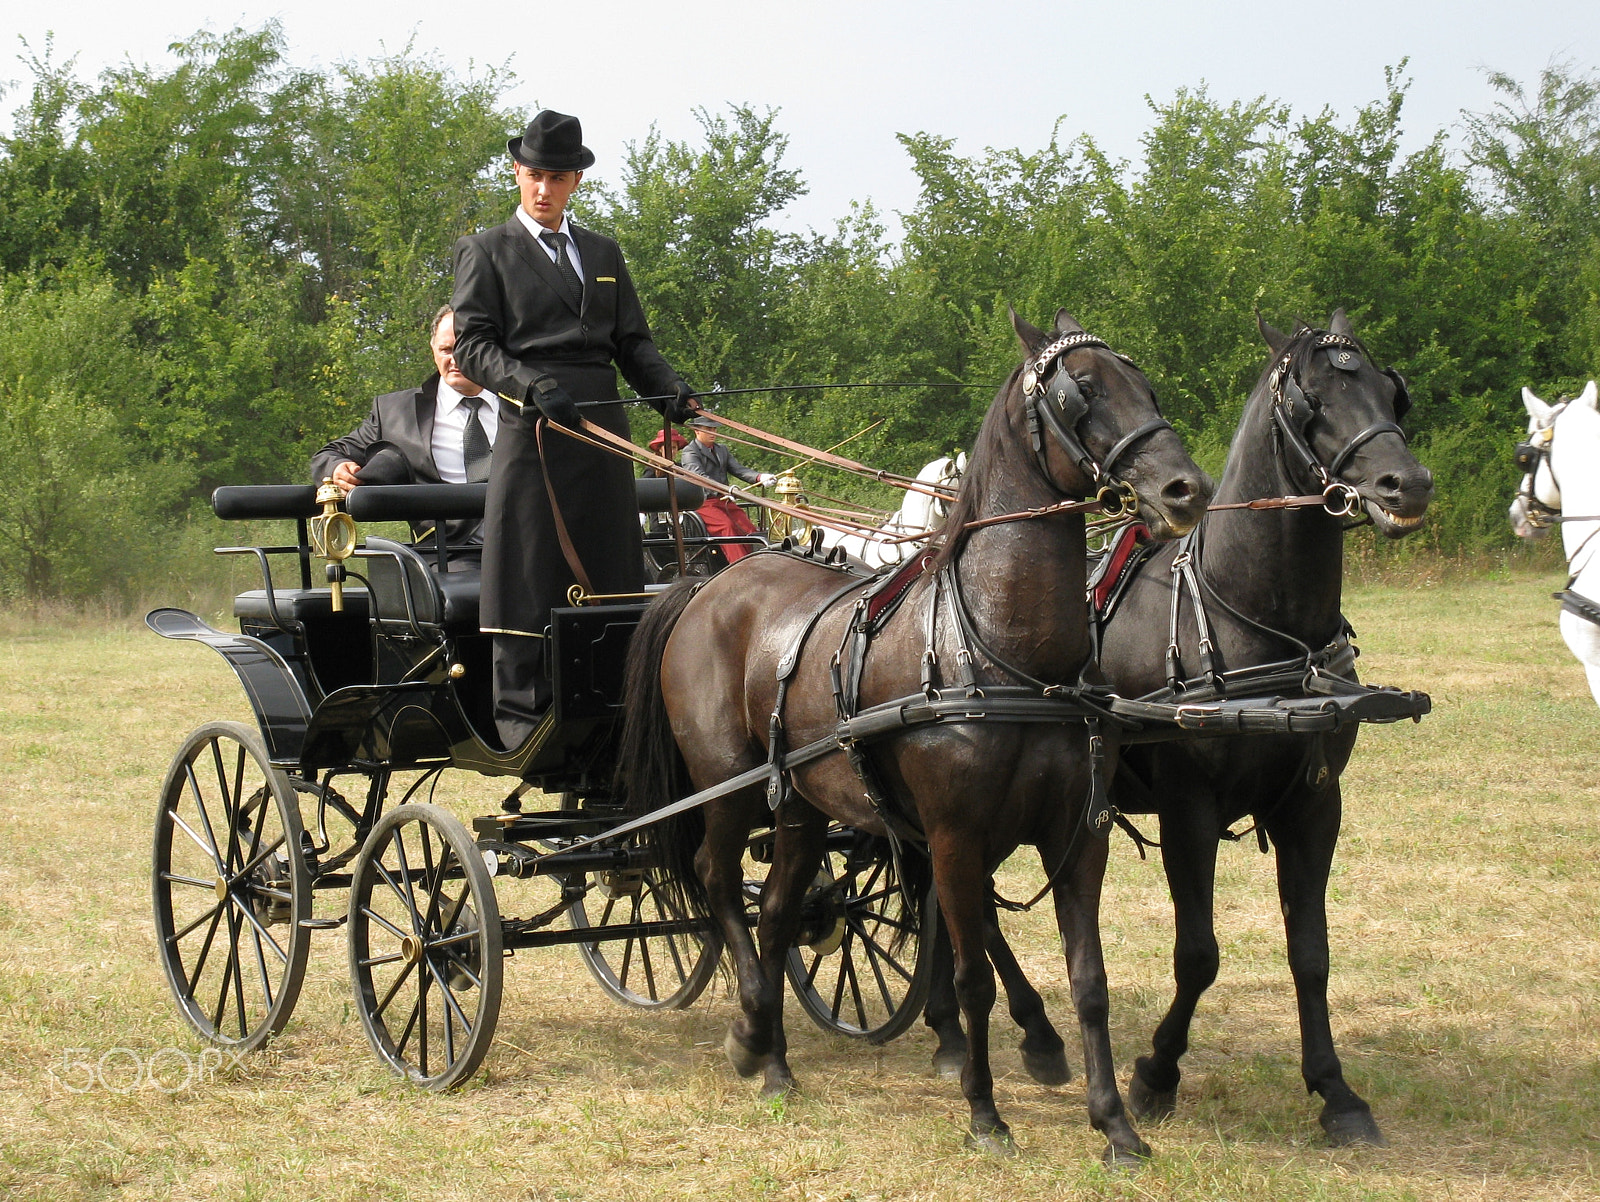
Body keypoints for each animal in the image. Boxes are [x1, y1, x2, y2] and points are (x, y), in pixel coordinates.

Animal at [921, 307, 1433, 1145]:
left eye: (1392, 391)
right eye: (1312, 400)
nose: (1408, 483)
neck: (1255, 619)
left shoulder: (1315, 806)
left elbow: (1311, 952)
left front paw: (1336, 1090)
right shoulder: (1190, 809)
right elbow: (1199, 954)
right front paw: (1156, 1073)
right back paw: (1019, 1032)